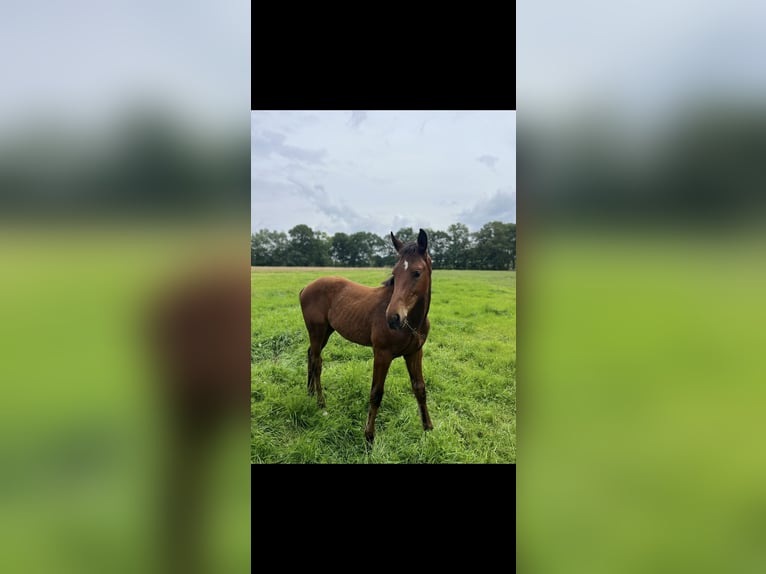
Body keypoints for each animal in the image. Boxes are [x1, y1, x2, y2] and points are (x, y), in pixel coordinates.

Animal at [298, 227, 436, 444]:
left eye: (417, 272)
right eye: (394, 273)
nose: (393, 318)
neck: (412, 323)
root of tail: (306, 288)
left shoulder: (415, 352)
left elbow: (420, 389)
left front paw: (428, 429)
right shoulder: (382, 354)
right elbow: (376, 393)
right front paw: (369, 436)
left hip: (325, 332)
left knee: (311, 354)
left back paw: (310, 392)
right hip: (317, 331)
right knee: (317, 361)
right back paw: (321, 403)